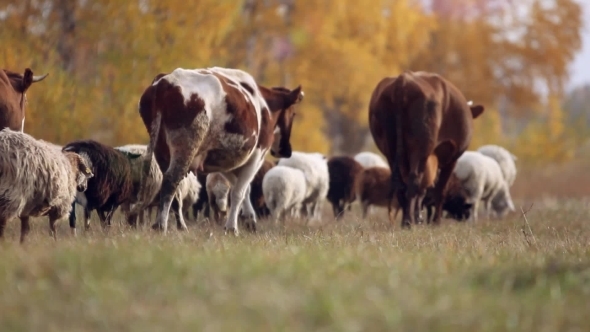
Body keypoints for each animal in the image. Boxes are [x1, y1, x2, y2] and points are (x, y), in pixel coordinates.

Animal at [134, 67, 306, 236]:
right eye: (293, 113)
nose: (286, 151)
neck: (264, 105)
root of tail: (165, 82)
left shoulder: (224, 161)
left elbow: (243, 189)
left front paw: (249, 219)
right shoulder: (257, 155)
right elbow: (238, 192)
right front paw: (232, 228)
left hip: (161, 150)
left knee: (173, 187)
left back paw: (180, 225)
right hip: (185, 145)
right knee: (171, 181)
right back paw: (161, 225)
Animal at [370, 70, 486, 228]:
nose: (465, 215)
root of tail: (403, 80)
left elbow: (424, 189)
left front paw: (420, 216)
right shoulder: (451, 159)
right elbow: (440, 189)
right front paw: (435, 222)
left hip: (391, 149)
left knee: (402, 184)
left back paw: (407, 220)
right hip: (420, 148)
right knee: (414, 181)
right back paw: (408, 221)